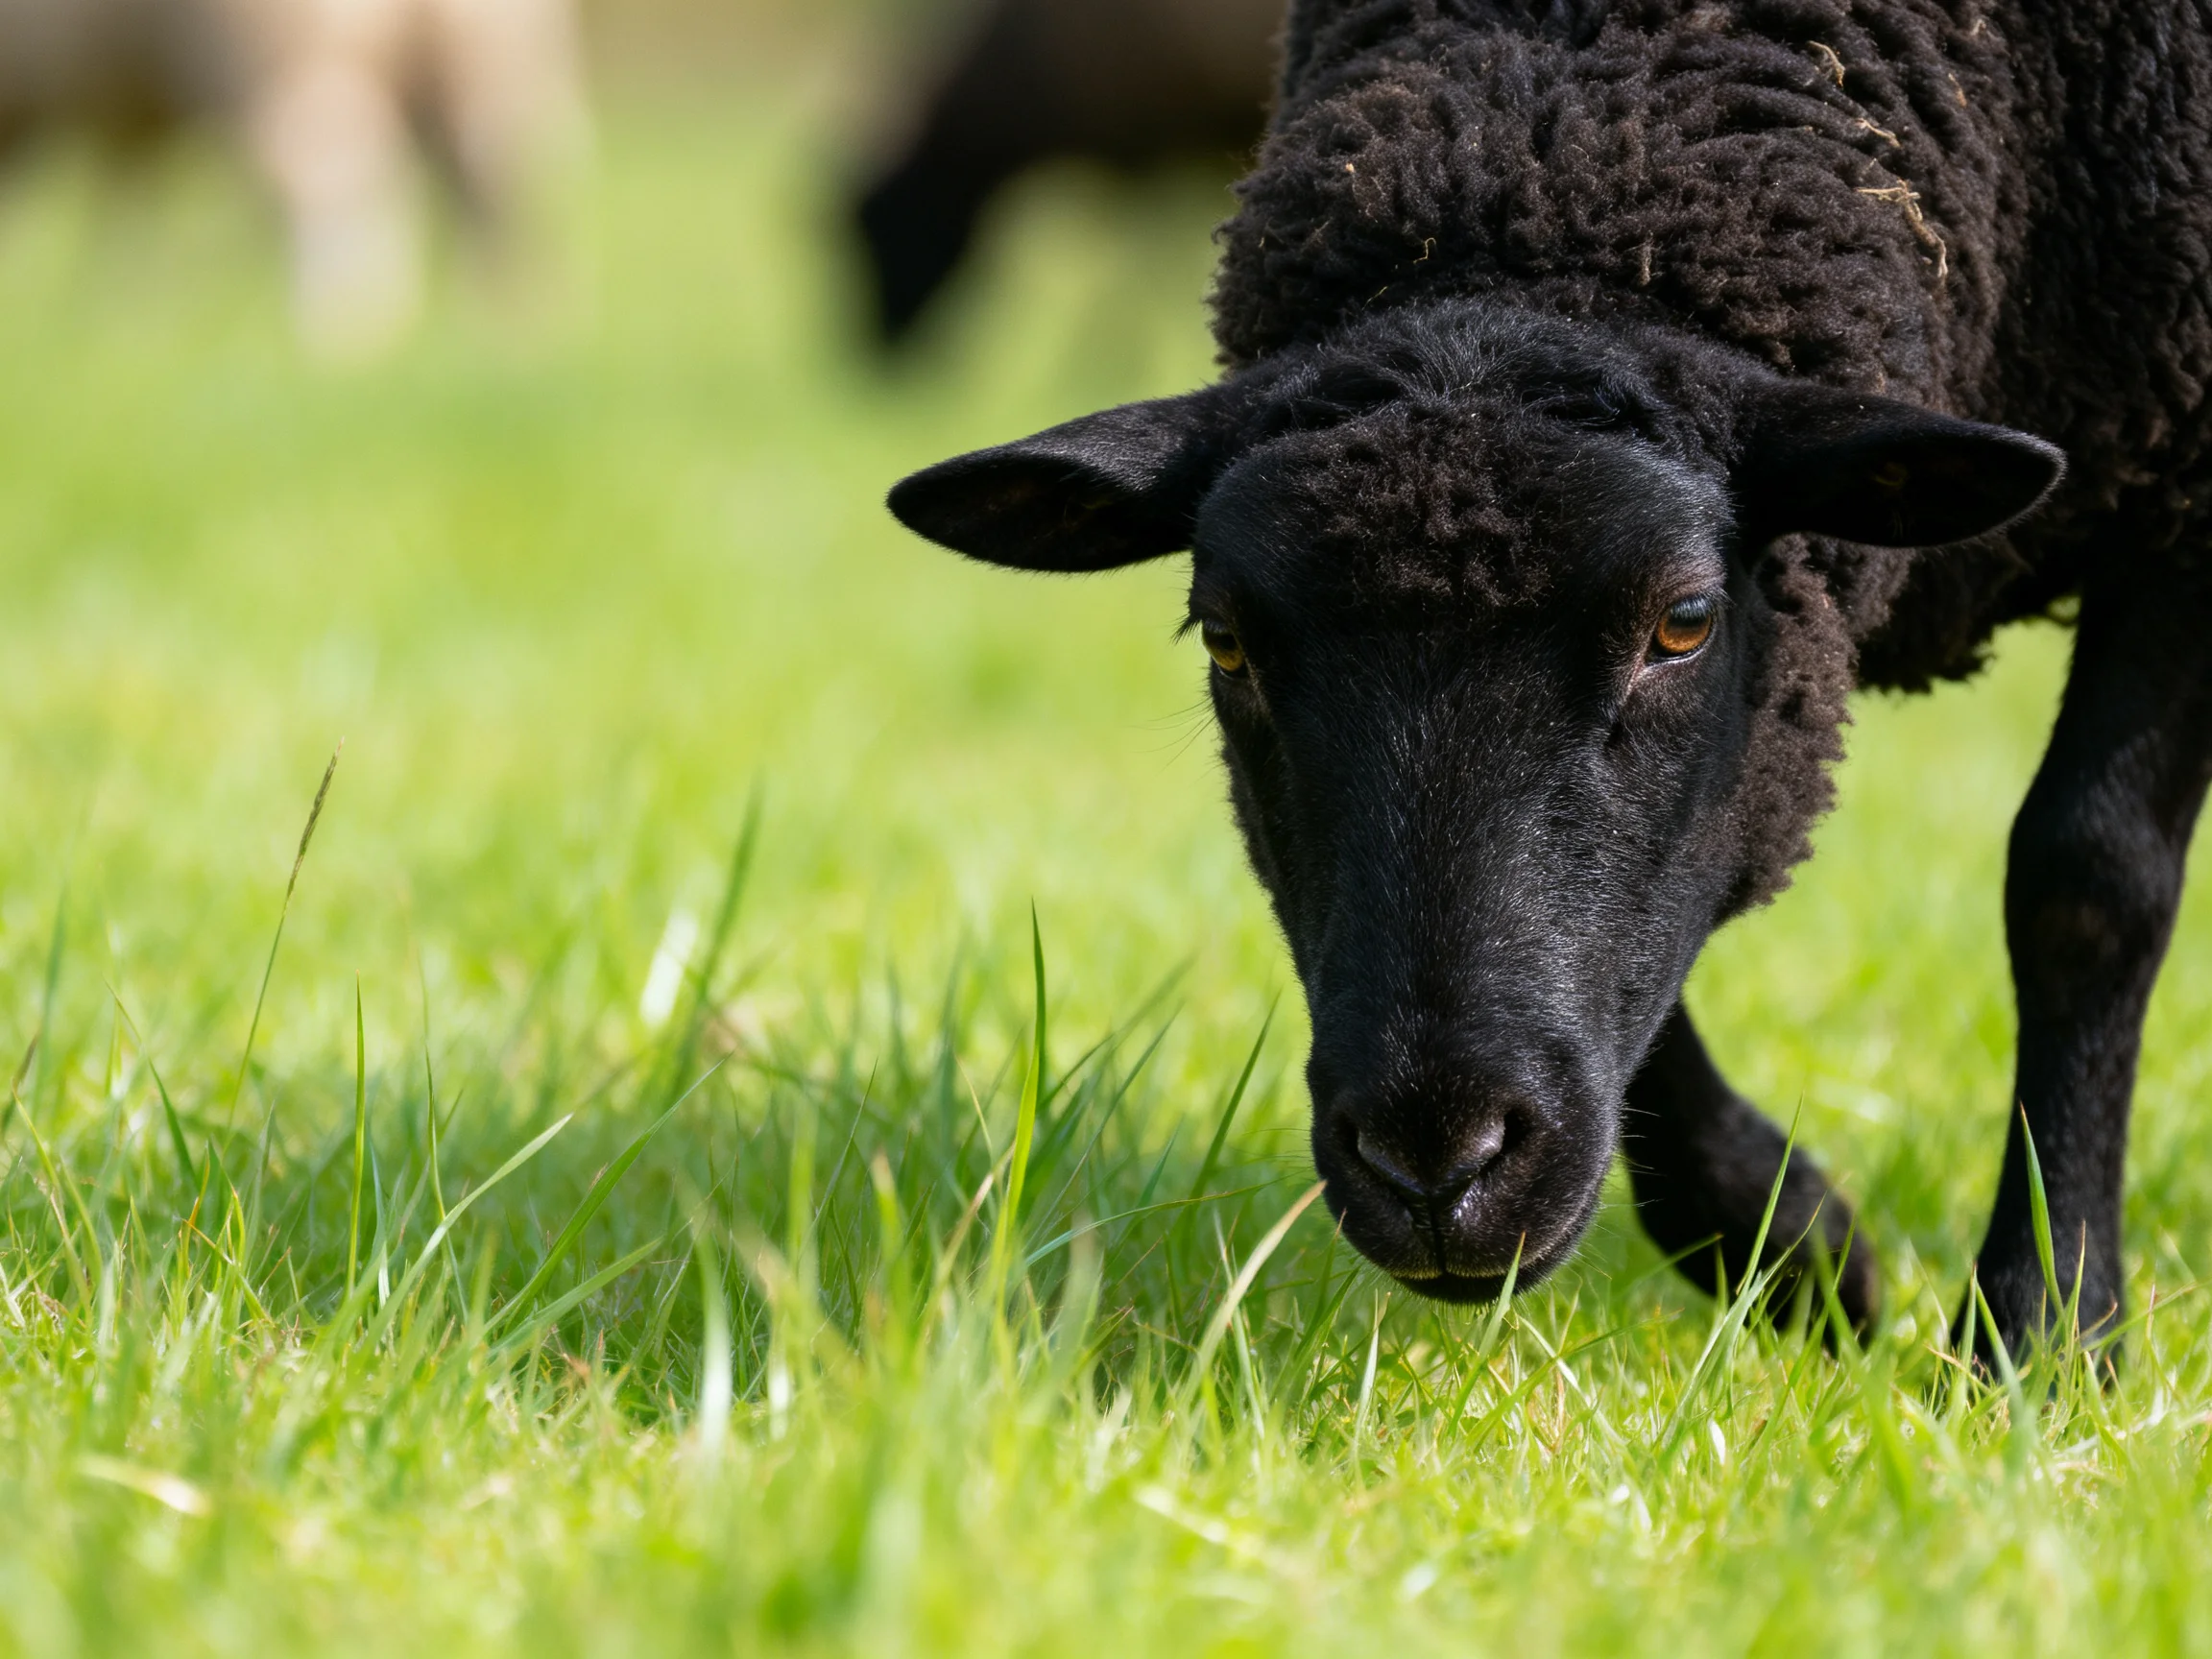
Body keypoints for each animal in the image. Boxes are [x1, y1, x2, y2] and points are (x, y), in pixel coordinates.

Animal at [0, 0, 585, 355]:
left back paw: (340, 334)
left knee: (328, 170)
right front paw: (122, 318)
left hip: (280, 42)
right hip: (481, 51)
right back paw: (505, 332)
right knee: (490, 186)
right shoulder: (126, 112)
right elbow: (125, 214)